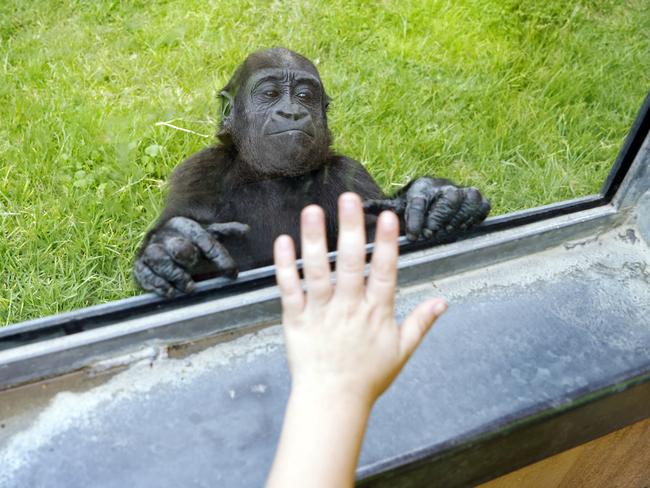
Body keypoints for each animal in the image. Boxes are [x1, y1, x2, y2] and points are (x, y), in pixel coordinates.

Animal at [134, 46, 488, 298]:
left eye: (305, 95)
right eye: (270, 94)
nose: (291, 112)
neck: (270, 176)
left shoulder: (350, 175)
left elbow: (378, 238)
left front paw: (439, 198)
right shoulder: (198, 171)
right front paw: (169, 245)